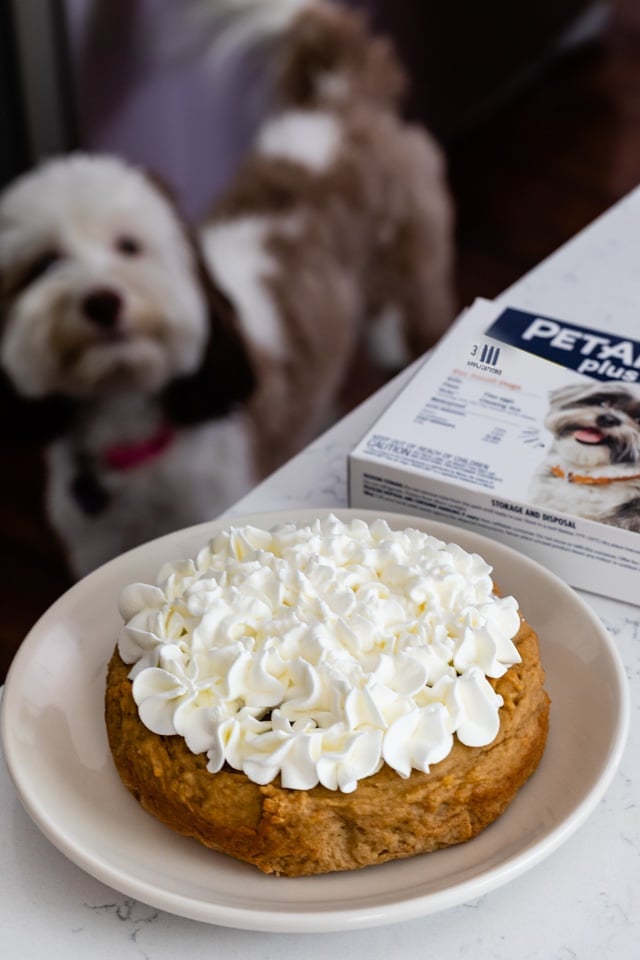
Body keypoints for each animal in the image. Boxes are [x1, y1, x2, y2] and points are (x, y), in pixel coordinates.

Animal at [0, 0, 456, 576]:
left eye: (129, 246)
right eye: (42, 265)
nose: (101, 300)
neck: (135, 427)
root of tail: (335, 99)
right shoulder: (96, 545)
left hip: (404, 287)